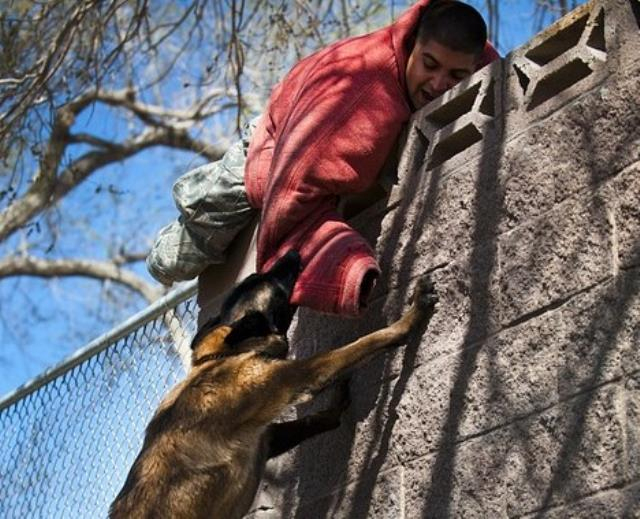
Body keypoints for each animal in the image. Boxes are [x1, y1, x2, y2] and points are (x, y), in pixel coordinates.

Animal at [111, 252, 440, 519]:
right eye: (264, 279)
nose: (292, 252)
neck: (227, 354)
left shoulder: (265, 437)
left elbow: (312, 422)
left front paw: (334, 410)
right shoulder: (296, 377)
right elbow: (361, 344)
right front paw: (409, 319)